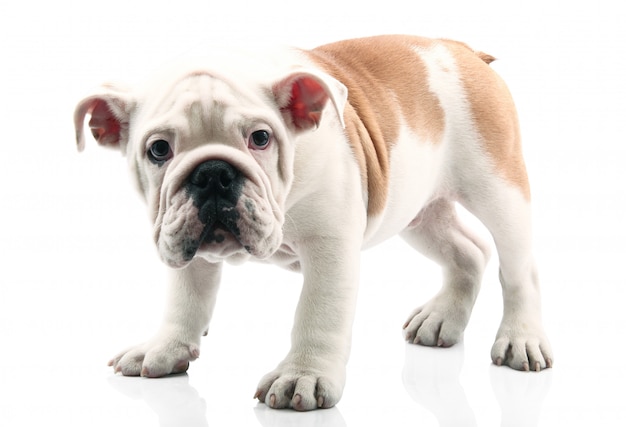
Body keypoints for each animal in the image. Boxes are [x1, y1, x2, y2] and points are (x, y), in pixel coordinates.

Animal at [72, 36, 552, 412]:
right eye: (158, 149)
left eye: (260, 138)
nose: (212, 173)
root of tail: (462, 50)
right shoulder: (184, 239)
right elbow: (185, 299)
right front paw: (165, 347)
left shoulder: (330, 247)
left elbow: (318, 313)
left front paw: (302, 375)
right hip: (417, 209)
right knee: (469, 250)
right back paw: (442, 319)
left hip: (498, 190)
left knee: (518, 268)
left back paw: (521, 338)